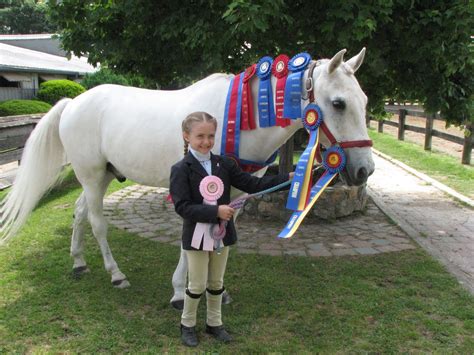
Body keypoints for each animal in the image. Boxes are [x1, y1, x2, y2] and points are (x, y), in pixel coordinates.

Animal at [1, 48, 376, 306]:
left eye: (364, 100)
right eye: (339, 103)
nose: (364, 170)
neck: (237, 119)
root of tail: (73, 102)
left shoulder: (235, 191)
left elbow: (220, 236)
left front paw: (215, 289)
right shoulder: (195, 192)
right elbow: (192, 239)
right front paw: (181, 291)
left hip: (104, 175)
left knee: (79, 213)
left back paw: (79, 263)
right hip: (91, 176)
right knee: (96, 222)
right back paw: (116, 274)